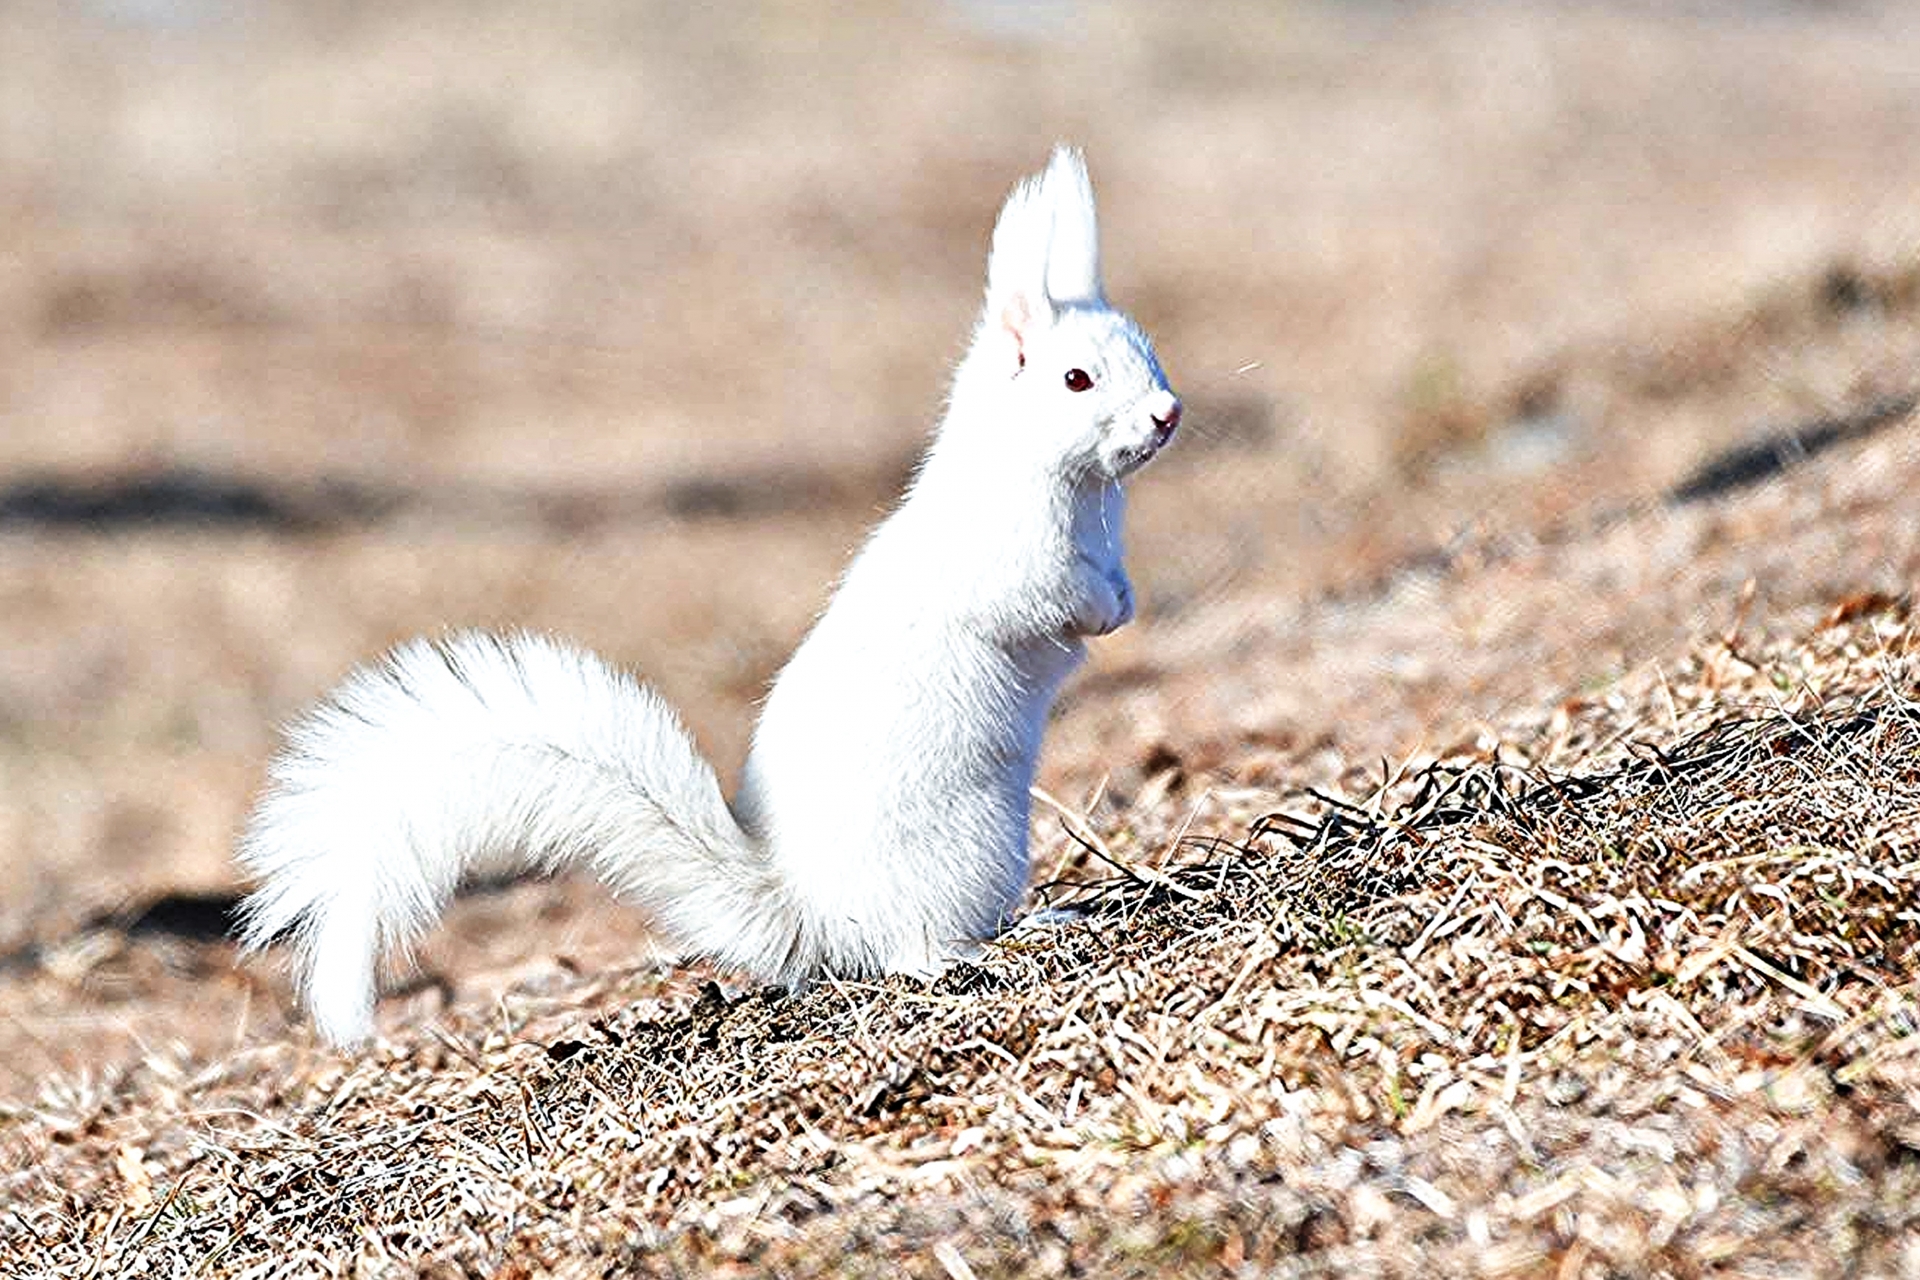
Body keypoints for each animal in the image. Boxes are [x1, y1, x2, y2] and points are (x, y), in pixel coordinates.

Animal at [232, 150, 1175, 1051]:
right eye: (1077, 380)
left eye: (1148, 348)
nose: (1167, 414)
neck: (1067, 485)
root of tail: (803, 914)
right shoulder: (1003, 560)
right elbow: (1042, 599)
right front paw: (1101, 612)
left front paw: (1125, 598)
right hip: (962, 850)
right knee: (904, 949)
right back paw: (986, 947)